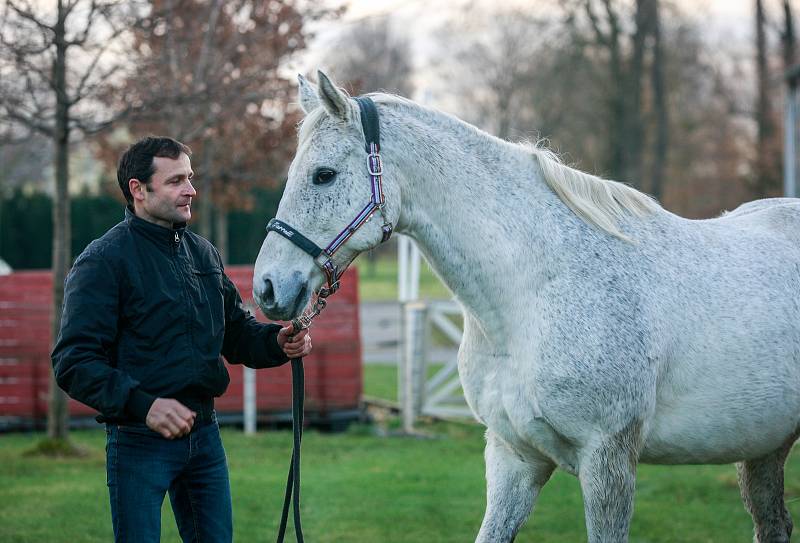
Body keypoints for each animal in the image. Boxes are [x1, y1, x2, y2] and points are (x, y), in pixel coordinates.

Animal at [253, 70, 800, 540]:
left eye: (324, 175)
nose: (267, 288)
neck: (535, 296)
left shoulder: (609, 461)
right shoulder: (513, 457)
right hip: (764, 449)